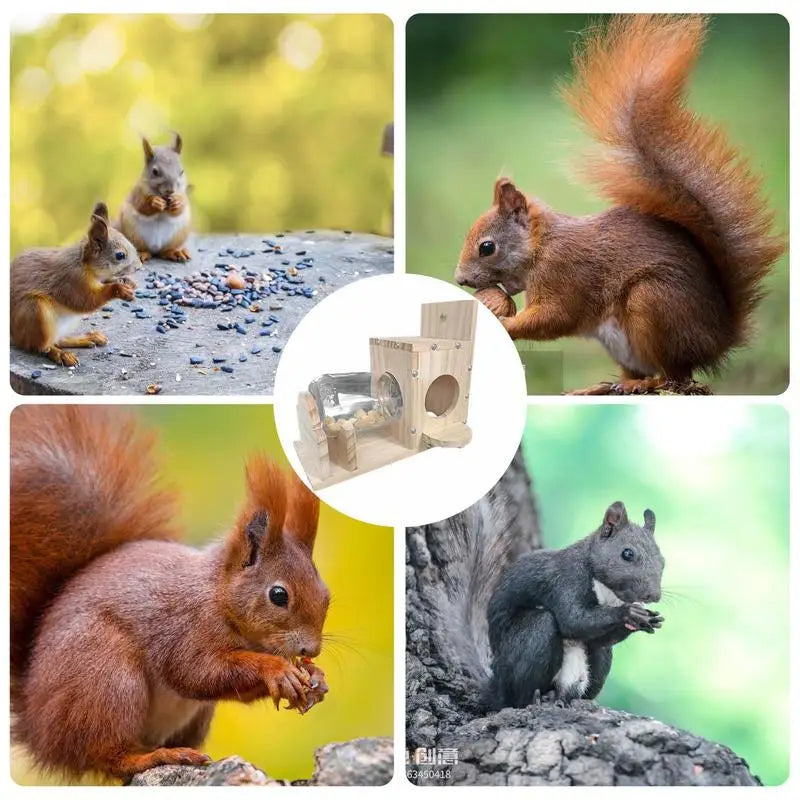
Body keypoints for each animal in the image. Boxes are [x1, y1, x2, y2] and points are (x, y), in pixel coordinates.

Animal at [10, 202, 139, 367]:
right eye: (120, 255)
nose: (139, 266)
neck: (85, 265)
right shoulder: (71, 281)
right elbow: (84, 301)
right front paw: (119, 289)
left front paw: (127, 281)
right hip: (34, 312)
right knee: (41, 346)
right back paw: (61, 354)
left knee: (59, 339)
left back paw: (86, 338)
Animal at [10, 406, 330, 781]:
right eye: (279, 595)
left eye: (326, 594)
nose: (312, 650)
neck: (218, 597)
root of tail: (37, 730)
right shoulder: (186, 628)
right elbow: (195, 672)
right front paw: (277, 669)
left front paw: (316, 678)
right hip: (106, 679)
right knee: (107, 752)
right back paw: (155, 757)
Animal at [116, 133, 192, 263]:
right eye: (155, 172)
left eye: (181, 171)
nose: (170, 191)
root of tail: (155, 248)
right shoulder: (137, 193)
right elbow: (141, 205)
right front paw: (155, 202)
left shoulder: (183, 193)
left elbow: (181, 206)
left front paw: (178, 202)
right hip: (133, 233)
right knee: (142, 248)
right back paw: (140, 253)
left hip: (179, 235)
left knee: (165, 251)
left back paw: (175, 252)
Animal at [455, 15, 786, 394]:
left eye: (487, 247)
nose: (459, 279)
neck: (542, 246)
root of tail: (719, 338)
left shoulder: (565, 273)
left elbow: (556, 317)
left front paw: (503, 325)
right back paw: (601, 387)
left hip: (653, 301)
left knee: (676, 375)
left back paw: (642, 384)